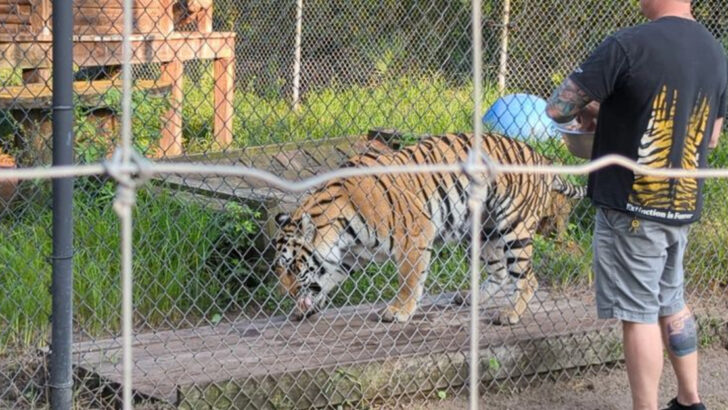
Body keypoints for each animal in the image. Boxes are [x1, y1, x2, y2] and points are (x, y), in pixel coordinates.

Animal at [273, 132, 585, 324]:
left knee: (527, 278)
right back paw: (470, 297)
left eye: (291, 267)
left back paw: (509, 314)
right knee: (500, 273)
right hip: (483, 232)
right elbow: (325, 279)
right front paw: (304, 307)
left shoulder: (413, 234)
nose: (285, 294)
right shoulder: (347, 257)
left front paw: (399, 311)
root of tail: (541, 157)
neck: (340, 231)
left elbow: (409, 279)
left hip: (514, 226)